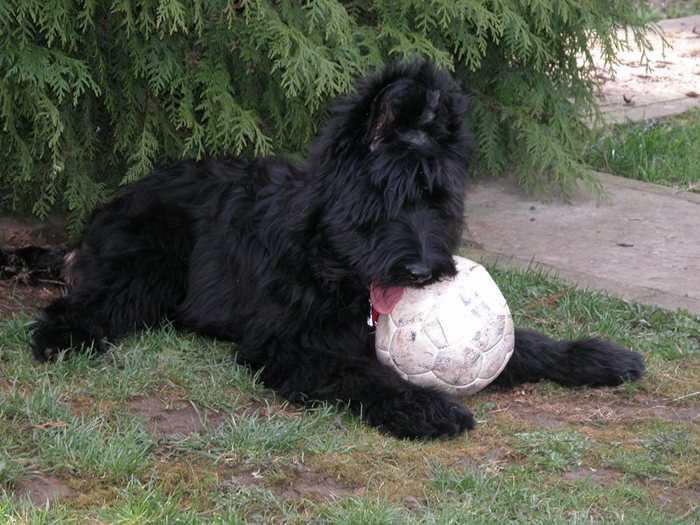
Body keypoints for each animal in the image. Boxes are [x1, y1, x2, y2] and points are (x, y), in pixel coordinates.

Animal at [1, 60, 644, 438]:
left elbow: (523, 344)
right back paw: (64, 337)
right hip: (148, 264)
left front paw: (593, 357)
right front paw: (426, 407)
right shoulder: (289, 344)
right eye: (385, 199)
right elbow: (364, 376)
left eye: (438, 201)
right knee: (81, 305)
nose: (423, 270)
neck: (333, 260)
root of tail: (102, 214)